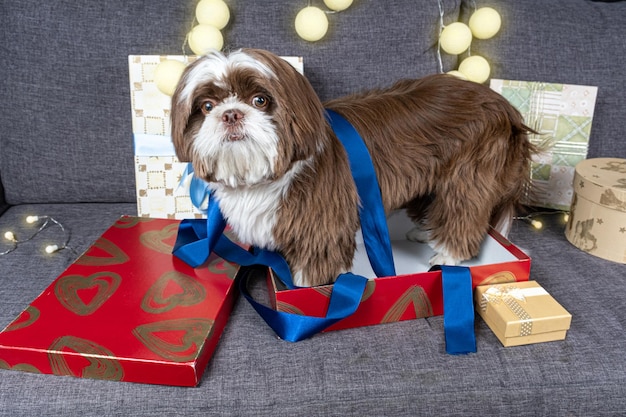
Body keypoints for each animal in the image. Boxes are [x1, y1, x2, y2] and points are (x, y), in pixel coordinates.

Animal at [169, 48, 532, 286]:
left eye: (260, 100)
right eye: (207, 106)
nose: (230, 114)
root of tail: (505, 107)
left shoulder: (320, 224)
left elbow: (314, 266)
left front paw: (306, 288)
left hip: (468, 174)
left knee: (465, 213)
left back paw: (449, 254)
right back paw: (426, 231)